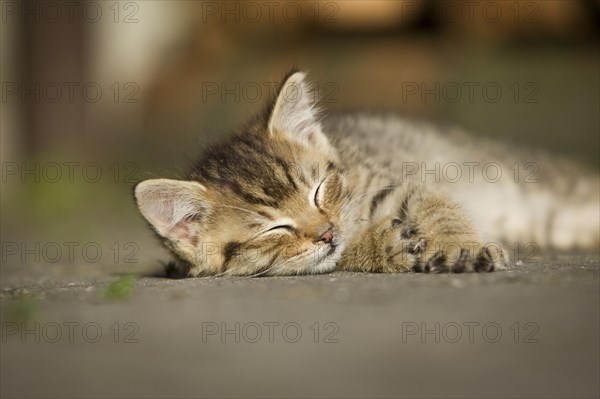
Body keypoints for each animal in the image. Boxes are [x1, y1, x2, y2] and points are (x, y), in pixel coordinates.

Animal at [136, 70, 600, 276]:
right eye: (275, 228)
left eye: (319, 190)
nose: (326, 232)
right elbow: (341, 256)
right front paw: (382, 247)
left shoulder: (403, 183)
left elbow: (441, 209)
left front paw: (460, 246)